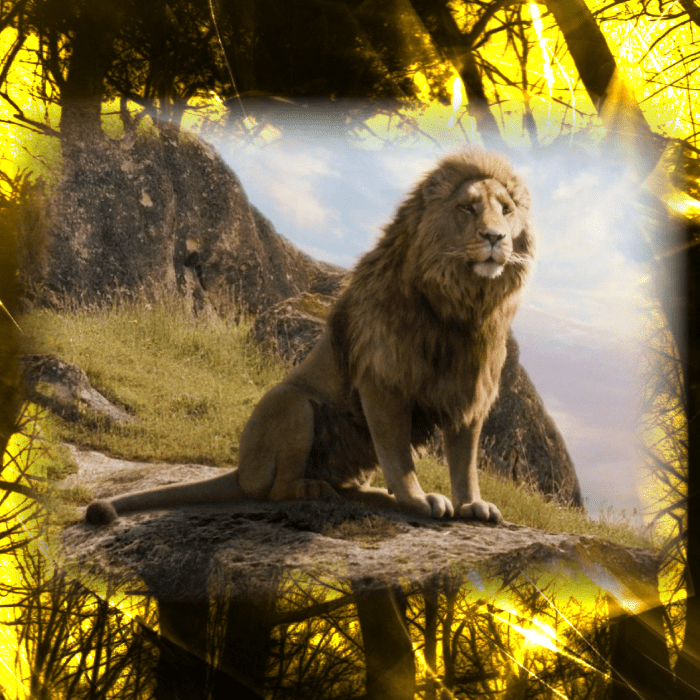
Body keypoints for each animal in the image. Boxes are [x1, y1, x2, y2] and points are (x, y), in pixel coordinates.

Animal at [86, 148, 536, 526]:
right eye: (467, 208)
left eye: (506, 210)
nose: (495, 238)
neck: (461, 306)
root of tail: (240, 469)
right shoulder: (383, 380)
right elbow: (398, 454)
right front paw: (417, 499)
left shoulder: (468, 390)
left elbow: (465, 462)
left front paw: (473, 504)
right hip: (292, 405)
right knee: (275, 490)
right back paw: (312, 489)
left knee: (343, 485)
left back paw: (369, 494)